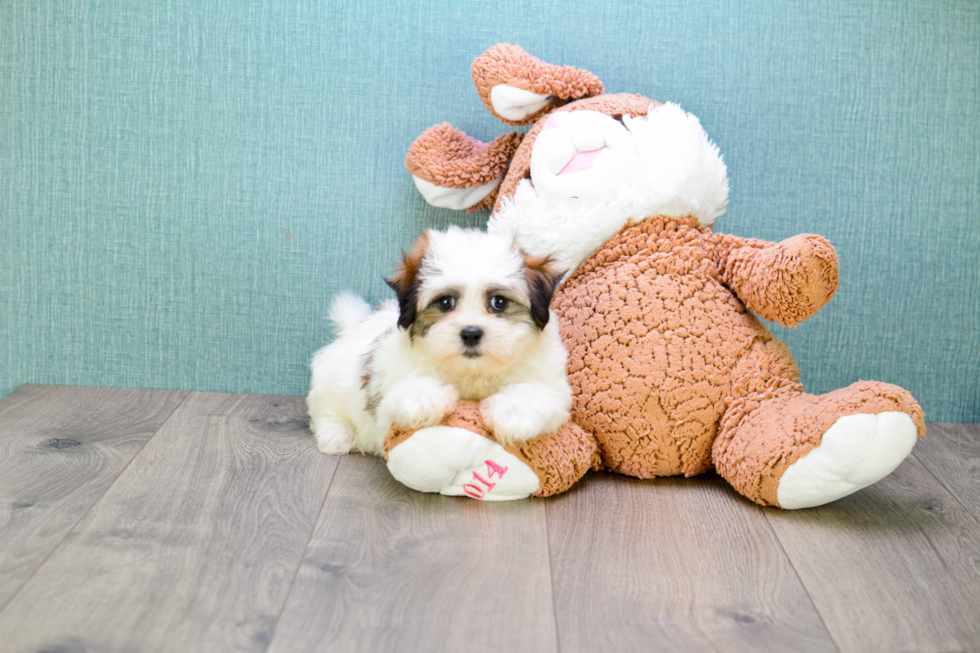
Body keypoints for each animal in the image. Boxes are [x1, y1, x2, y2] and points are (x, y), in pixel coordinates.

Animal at [304, 227, 568, 456]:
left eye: (499, 302)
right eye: (445, 302)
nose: (471, 333)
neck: (473, 374)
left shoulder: (552, 385)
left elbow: (537, 392)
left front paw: (512, 413)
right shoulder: (386, 403)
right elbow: (402, 397)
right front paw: (425, 398)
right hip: (330, 386)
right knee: (324, 411)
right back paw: (337, 435)